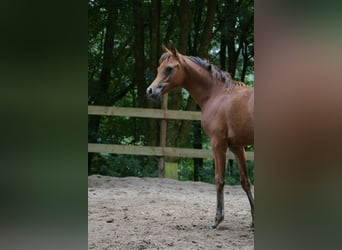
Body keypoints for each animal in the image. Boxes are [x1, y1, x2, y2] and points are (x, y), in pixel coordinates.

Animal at [146, 42, 255, 229]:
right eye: (159, 68)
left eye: (169, 68)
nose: (150, 91)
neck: (217, 94)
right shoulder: (237, 147)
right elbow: (245, 182)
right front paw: (255, 220)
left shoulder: (218, 144)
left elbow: (219, 180)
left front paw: (217, 219)